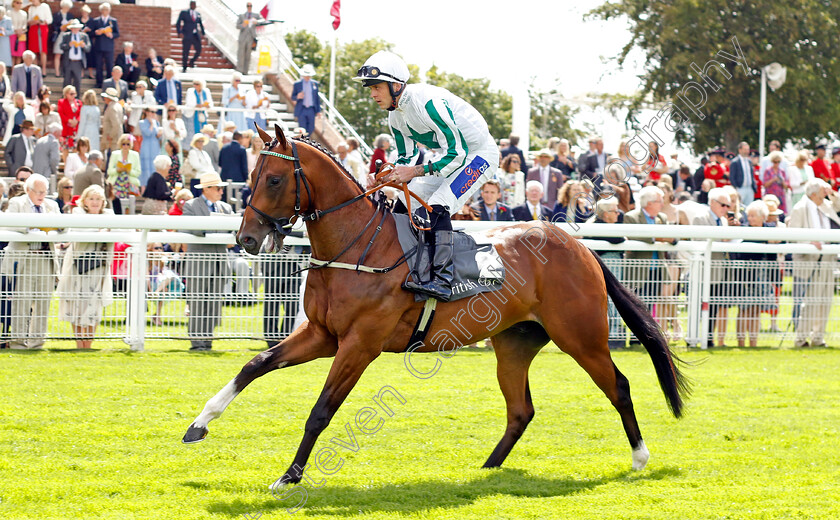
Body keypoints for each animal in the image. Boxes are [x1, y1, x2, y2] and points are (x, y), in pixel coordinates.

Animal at [184, 125, 688, 484]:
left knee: (618, 385)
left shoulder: (359, 345)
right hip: (514, 343)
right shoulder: (322, 335)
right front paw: (200, 424)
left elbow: (321, 411)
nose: (246, 239)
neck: (356, 245)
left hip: (581, 337)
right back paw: (486, 469)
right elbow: (254, 365)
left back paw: (639, 456)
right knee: (520, 410)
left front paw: (289, 477)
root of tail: (581, 247)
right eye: (249, 179)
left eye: (272, 179)